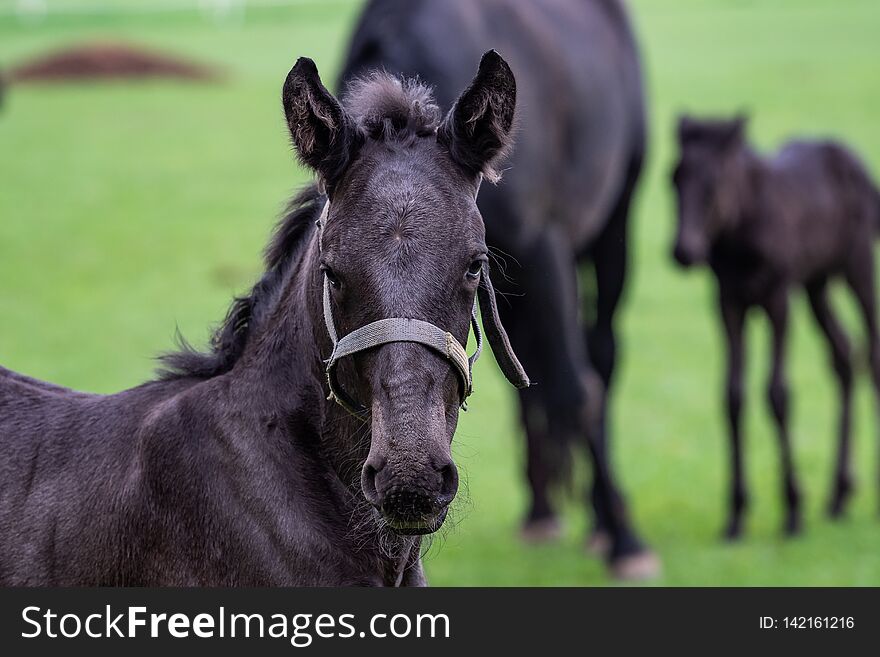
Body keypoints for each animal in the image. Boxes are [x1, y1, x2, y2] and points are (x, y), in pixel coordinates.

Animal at [340, 0, 656, 576]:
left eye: (467, 262)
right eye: (335, 275)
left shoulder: (543, 247)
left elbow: (577, 390)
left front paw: (625, 540)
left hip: (613, 223)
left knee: (600, 356)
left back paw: (603, 522)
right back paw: (542, 510)